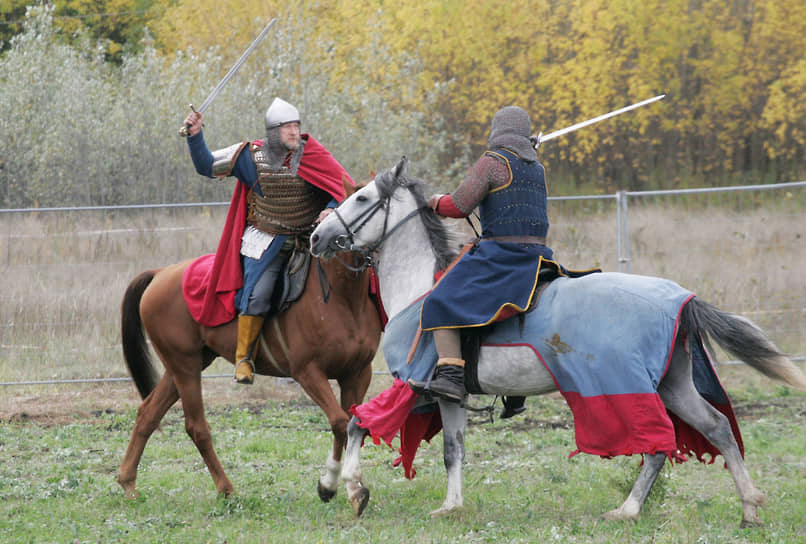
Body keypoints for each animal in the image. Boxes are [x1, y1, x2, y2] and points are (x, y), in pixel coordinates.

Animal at [115, 240, 386, 508]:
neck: (342, 296)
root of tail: (160, 274)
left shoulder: (357, 374)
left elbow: (354, 425)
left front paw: (352, 488)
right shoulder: (308, 372)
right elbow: (339, 422)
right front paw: (330, 485)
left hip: (184, 366)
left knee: (148, 414)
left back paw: (128, 484)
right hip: (185, 365)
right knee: (196, 427)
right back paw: (226, 489)